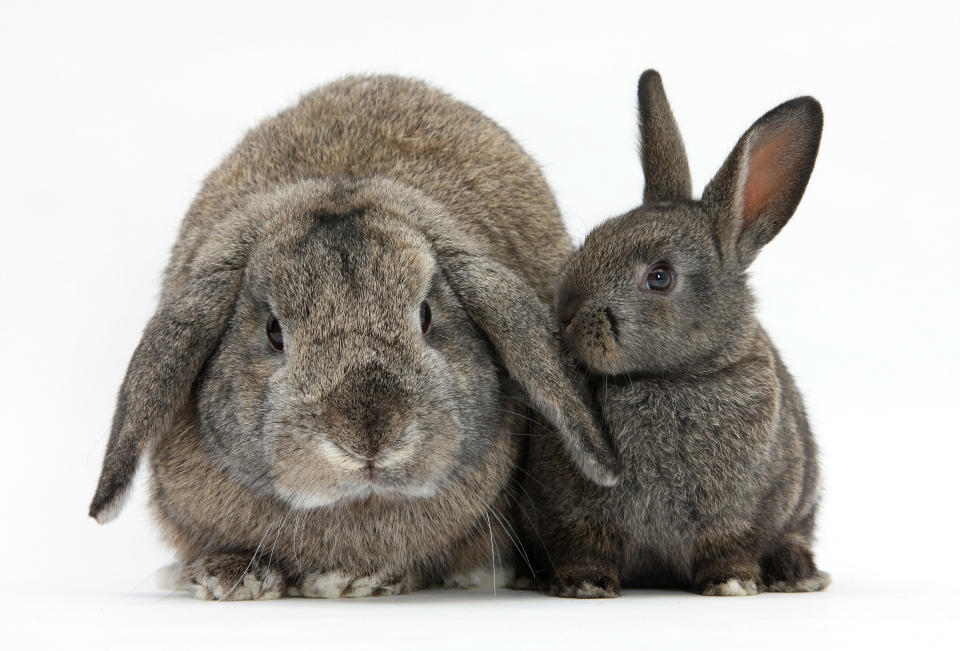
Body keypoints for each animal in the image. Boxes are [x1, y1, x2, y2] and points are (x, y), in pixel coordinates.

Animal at [520, 70, 828, 596]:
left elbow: (731, 547)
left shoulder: (738, 517)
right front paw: (584, 585)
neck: (668, 378)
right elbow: (585, 546)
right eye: (594, 238)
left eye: (660, 277)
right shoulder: (576, 515)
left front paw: (732, 583)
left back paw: (796, 572)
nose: (568, 314)